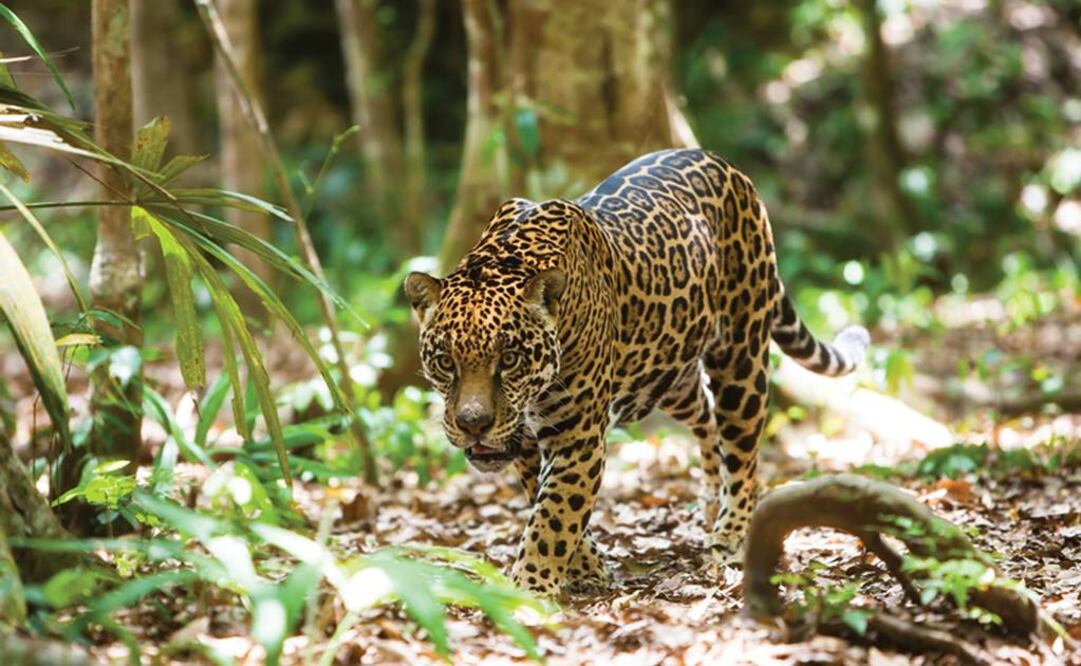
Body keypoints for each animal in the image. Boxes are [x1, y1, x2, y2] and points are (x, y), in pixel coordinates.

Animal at [404, 148, 870, 597]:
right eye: (445, 361)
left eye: (510, 359)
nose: (474, 424)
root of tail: (726, 164)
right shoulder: (526, 443)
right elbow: (549, 503)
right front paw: (586, 568)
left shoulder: (577, 437)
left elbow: (554, 517)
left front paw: (529, 590)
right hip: (667, 372)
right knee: (705, 416)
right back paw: (708, 499)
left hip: (740, 357)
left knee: (743, 450)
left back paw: (732, 533)